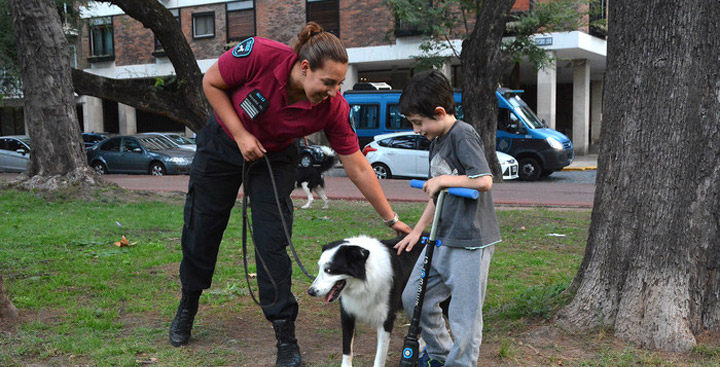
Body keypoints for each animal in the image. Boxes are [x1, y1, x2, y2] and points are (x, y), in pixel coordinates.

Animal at [308, 236, 428, 367]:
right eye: (319, 268)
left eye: (329, 270)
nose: (311, 291)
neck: (365, 280)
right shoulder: (347, 313)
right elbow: (347, 349)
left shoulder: (386, 320)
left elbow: (380, 357)